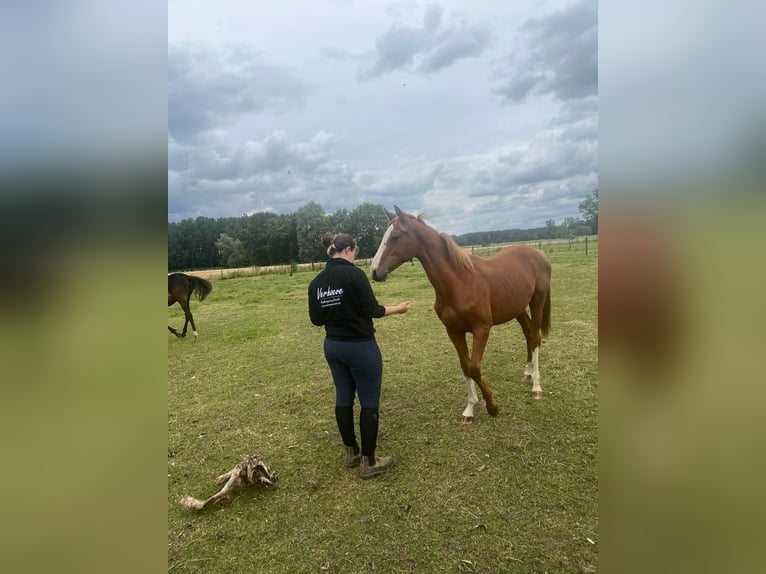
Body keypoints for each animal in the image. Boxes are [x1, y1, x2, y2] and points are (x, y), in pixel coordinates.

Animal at [372, 207, 552, 424]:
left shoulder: (482, 329)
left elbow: (474, 367)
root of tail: (538, 254)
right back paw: (528, 373)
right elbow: (465, 367)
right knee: (527, 334)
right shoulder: (454, 331)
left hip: (537, 301)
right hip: (517, 308)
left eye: (396, 236)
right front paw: (470, 409)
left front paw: (492, 406)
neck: (460, 283)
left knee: (535, 338)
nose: (374, 271)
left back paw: (536, 387)